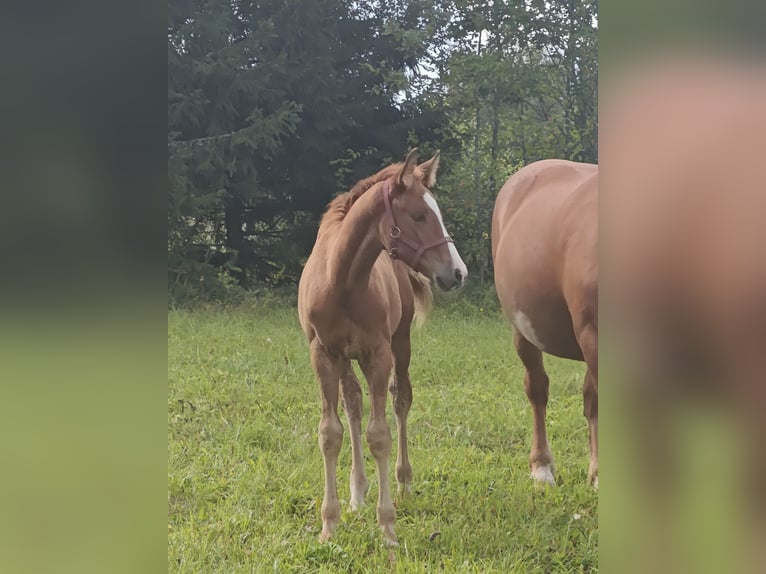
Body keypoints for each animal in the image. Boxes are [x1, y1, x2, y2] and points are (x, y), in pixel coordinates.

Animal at [298, 151, 468, 548]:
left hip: (400, 343)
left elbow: (380, 435)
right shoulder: (323, 354)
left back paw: (403, 482)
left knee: (400, 399)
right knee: (353, 403)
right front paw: (329, 524)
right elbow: (330, 432)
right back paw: (358, 490)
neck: (341, 281)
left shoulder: (379, 354)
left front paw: (388, 528)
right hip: (346, 359)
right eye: (419, 215)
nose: (458, 272)